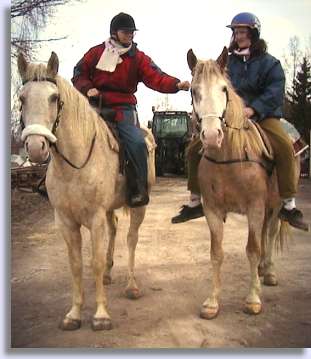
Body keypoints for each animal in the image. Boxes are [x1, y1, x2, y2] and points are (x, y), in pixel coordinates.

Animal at [17, 52, 156, 330]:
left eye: (54, 98)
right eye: (22, 98)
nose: (36, 147)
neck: (75, 163)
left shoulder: (94, 218)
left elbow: (95, 262)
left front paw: (101, 315)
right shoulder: (66, 221)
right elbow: (76, 265)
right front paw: (74, 314)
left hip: (139, 207)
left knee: (131, 239)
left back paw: (131, 286)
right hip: (109, 211)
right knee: (114, 230)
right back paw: (110, 275)